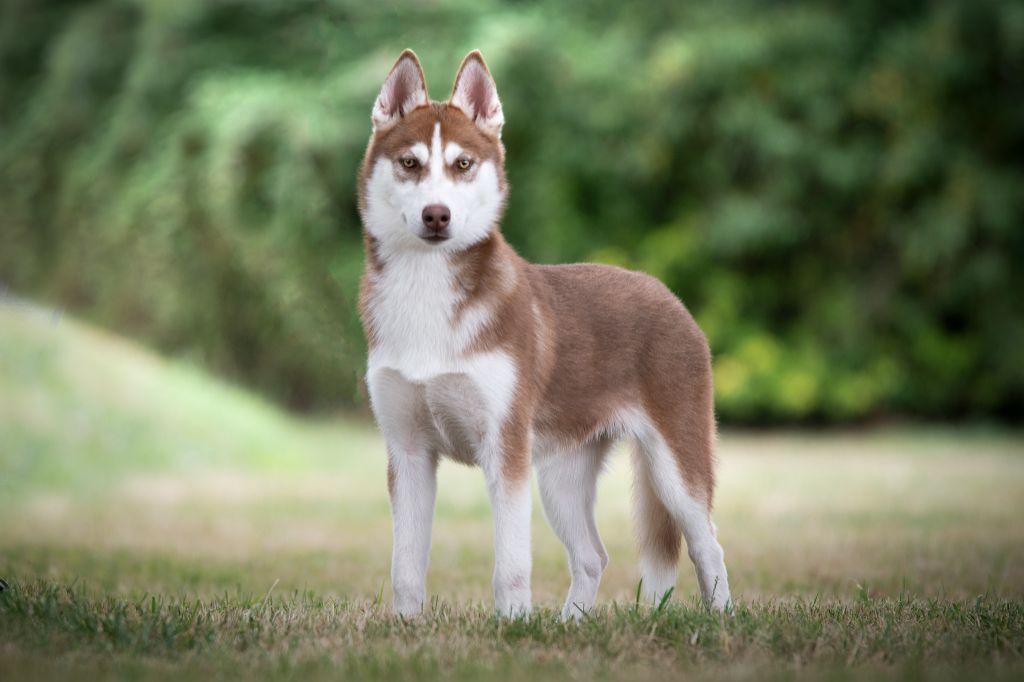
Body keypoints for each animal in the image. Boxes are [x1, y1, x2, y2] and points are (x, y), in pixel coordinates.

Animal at [356, 49, 733, 614]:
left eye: (462, 164)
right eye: (410, 163)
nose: (436, 215)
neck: (426, 290)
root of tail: (667, 294)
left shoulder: (505, 450)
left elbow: (511, 567)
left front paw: (513, 623)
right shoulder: (407, 453)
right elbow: (405, 569)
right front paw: (404, 626)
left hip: (675, 466)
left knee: (707, 545)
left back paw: (721, 618)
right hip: (560, 474)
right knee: (593, 556)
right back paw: (572, 623)